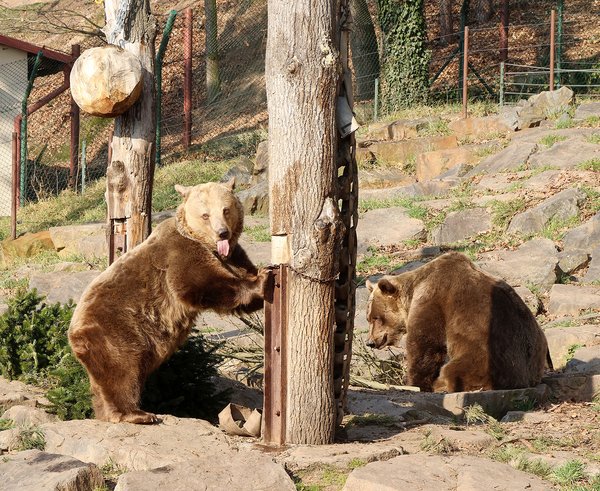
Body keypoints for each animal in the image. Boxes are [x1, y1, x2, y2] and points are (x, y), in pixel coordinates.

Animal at [69, 181, 268, 422]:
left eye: (226, 209)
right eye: (205, 215)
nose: (222, 233)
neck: (211, 247)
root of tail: (74, 334)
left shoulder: (234, 256)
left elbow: (242, 272)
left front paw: (266, 271)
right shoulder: (180, 254)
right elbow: (201, 285)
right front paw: (263, 280)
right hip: (115, 330)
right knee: (122, 370)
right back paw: (137, 413)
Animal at [364, 252, 552, 394]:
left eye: (376, 317)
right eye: (369, 318)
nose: (370, 342)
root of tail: (527, 379)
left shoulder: (433, 296)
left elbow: (425, 343)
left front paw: (415, 382)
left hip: (488, 357)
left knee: (456, 370)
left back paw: (441, 384)